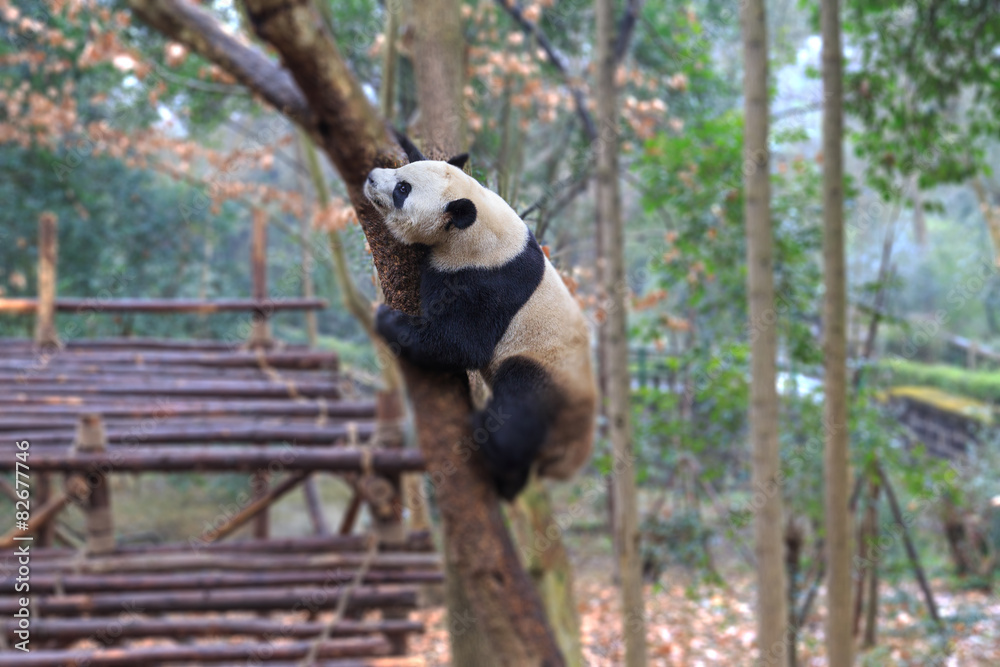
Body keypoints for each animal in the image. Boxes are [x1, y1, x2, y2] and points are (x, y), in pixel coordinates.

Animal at [364, 146, 596, 500]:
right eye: (404, 169)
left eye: (403, 189)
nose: (371, 177)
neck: (478, 222)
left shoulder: (486, 279)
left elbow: (461, 344)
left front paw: (387, 319)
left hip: (550, 373)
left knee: (521, 399)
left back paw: (490, 441)